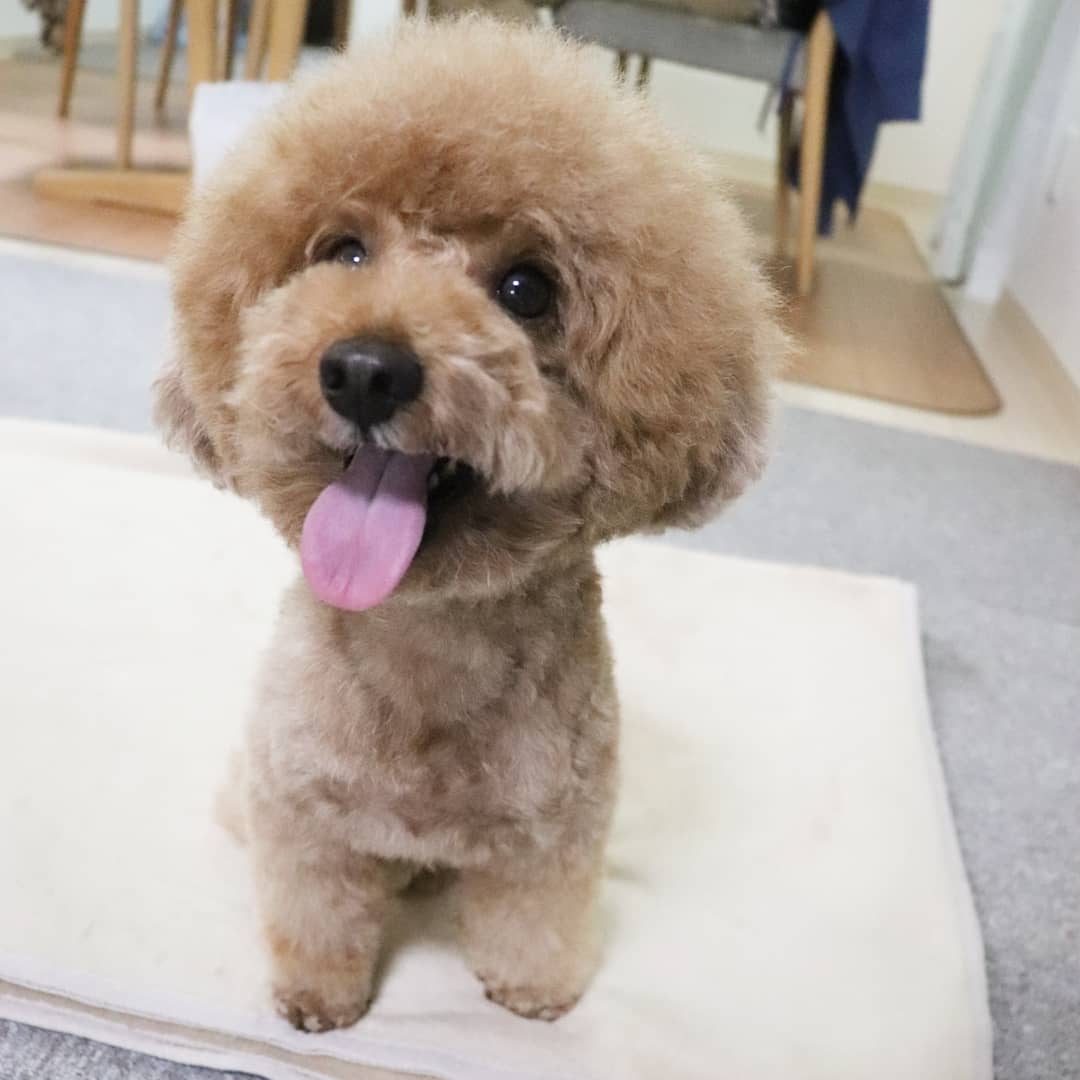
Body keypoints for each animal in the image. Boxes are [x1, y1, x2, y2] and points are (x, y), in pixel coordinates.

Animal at [154, 17, 784, 1032]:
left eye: (527, 289)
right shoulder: (303, 810)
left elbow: (534, 921)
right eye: (343, 252)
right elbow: (316, 912)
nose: (364, 370)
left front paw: (536, 993)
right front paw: (316, 999)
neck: (429, 643)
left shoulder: (558, 830)